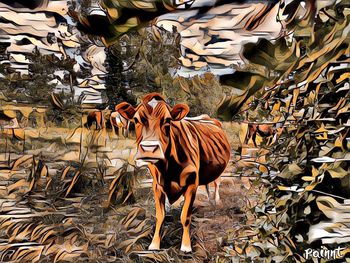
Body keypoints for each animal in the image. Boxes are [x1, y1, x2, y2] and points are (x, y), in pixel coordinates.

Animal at [115, 93, 231, 254]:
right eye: (136, 120)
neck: (167, 169)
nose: (149, 149)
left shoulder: (192, 183)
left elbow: (185, 216)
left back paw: (216, 200)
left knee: (216, 182)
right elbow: (160, 215)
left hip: (219, 169)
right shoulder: (156, 185)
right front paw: (154, 244)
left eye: (167, 120)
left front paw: (186, 246)